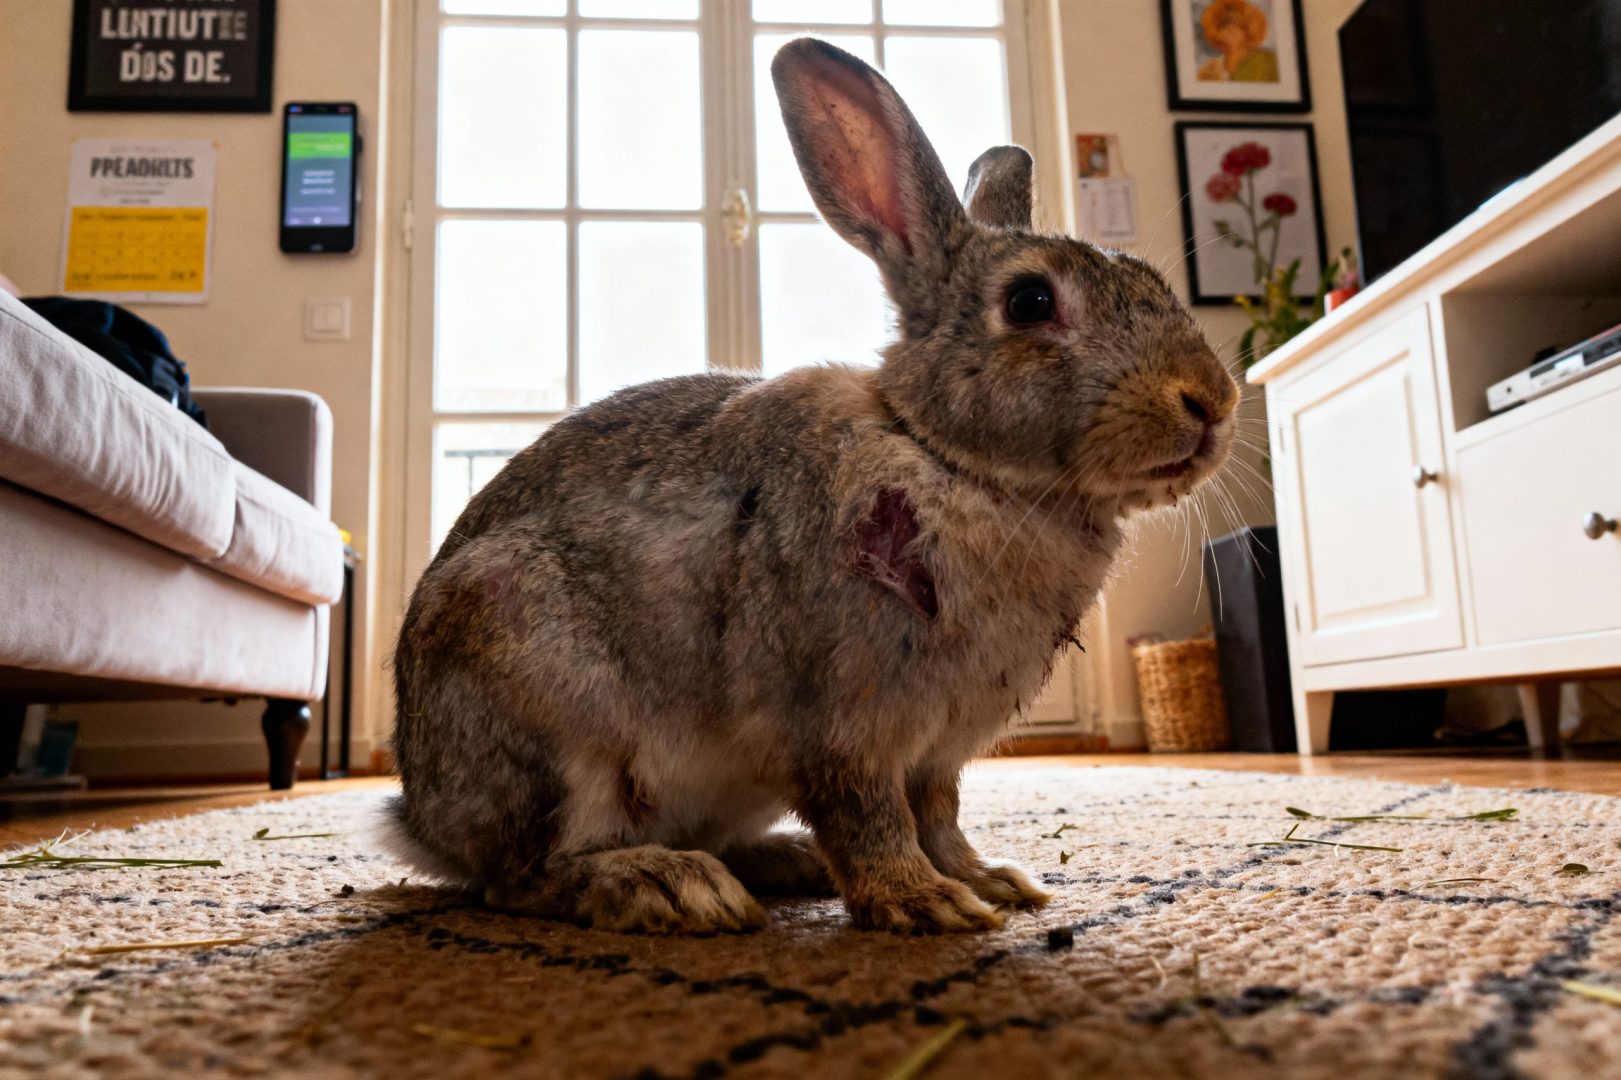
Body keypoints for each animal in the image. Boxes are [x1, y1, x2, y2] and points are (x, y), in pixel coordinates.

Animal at [385, 38, 1237, 935]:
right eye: (1031, 301)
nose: (1211, 402)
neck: (946, 457)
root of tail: (423, 819)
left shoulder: (937, 751)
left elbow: (939, 814)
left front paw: (993, 882)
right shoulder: (843, 722)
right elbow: (870, 814)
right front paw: (924, 903)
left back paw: (781, 864)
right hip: (549, 713)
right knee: (521, 877)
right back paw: (669, 886)